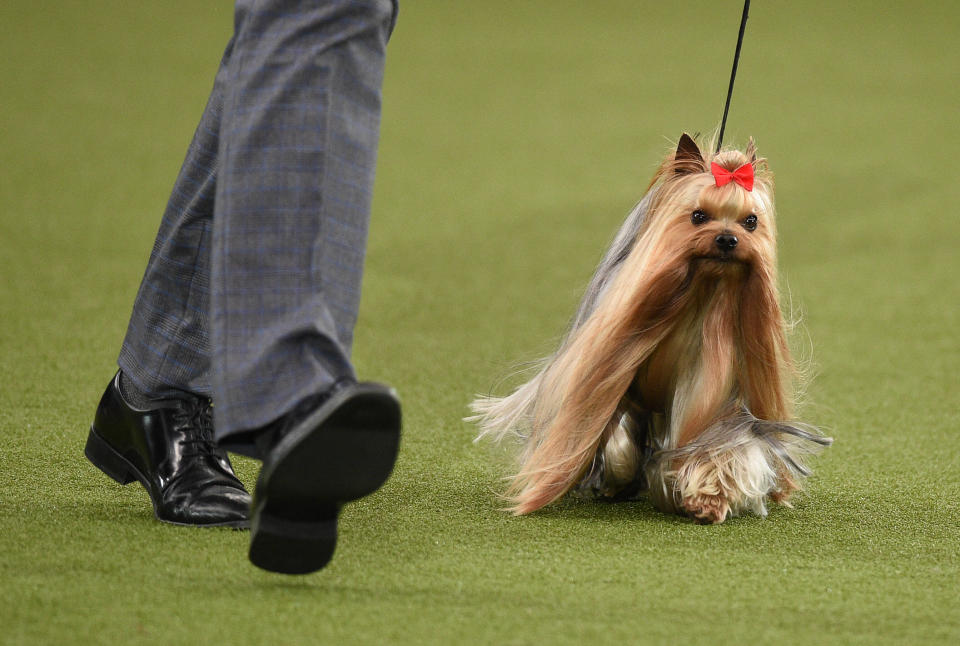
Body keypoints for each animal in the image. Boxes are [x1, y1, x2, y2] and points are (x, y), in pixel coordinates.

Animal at [468, 135, 828, 528]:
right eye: (698, 216)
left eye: (751, 221)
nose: (728, 240)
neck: (699, 292)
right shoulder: (612, 378)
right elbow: (615, 438)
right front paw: (617, 478)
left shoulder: (713, 387)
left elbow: (718, 447)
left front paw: (706, 500)